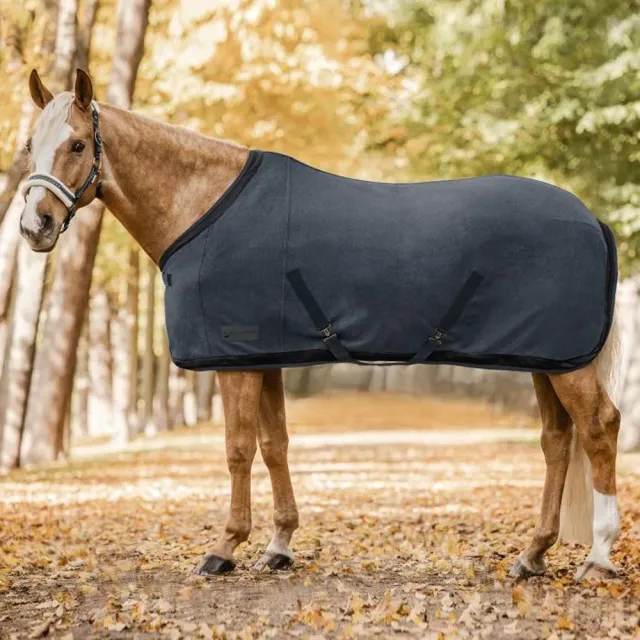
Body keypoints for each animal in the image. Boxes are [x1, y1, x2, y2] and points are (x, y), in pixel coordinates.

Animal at [19, 68, 622, 582]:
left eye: (77, 144)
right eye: (29, 144)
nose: (34, 226)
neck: (204, 207)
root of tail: (592, 219)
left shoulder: (234, 360)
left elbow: (238, 448)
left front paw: (224, 548)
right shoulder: (263, 358)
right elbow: (274, 444)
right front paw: (279, 545)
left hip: (568, 362)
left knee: (598, 428)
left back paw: (597, 557)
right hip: (546, 358)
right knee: (557, 440)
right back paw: (533, 555)